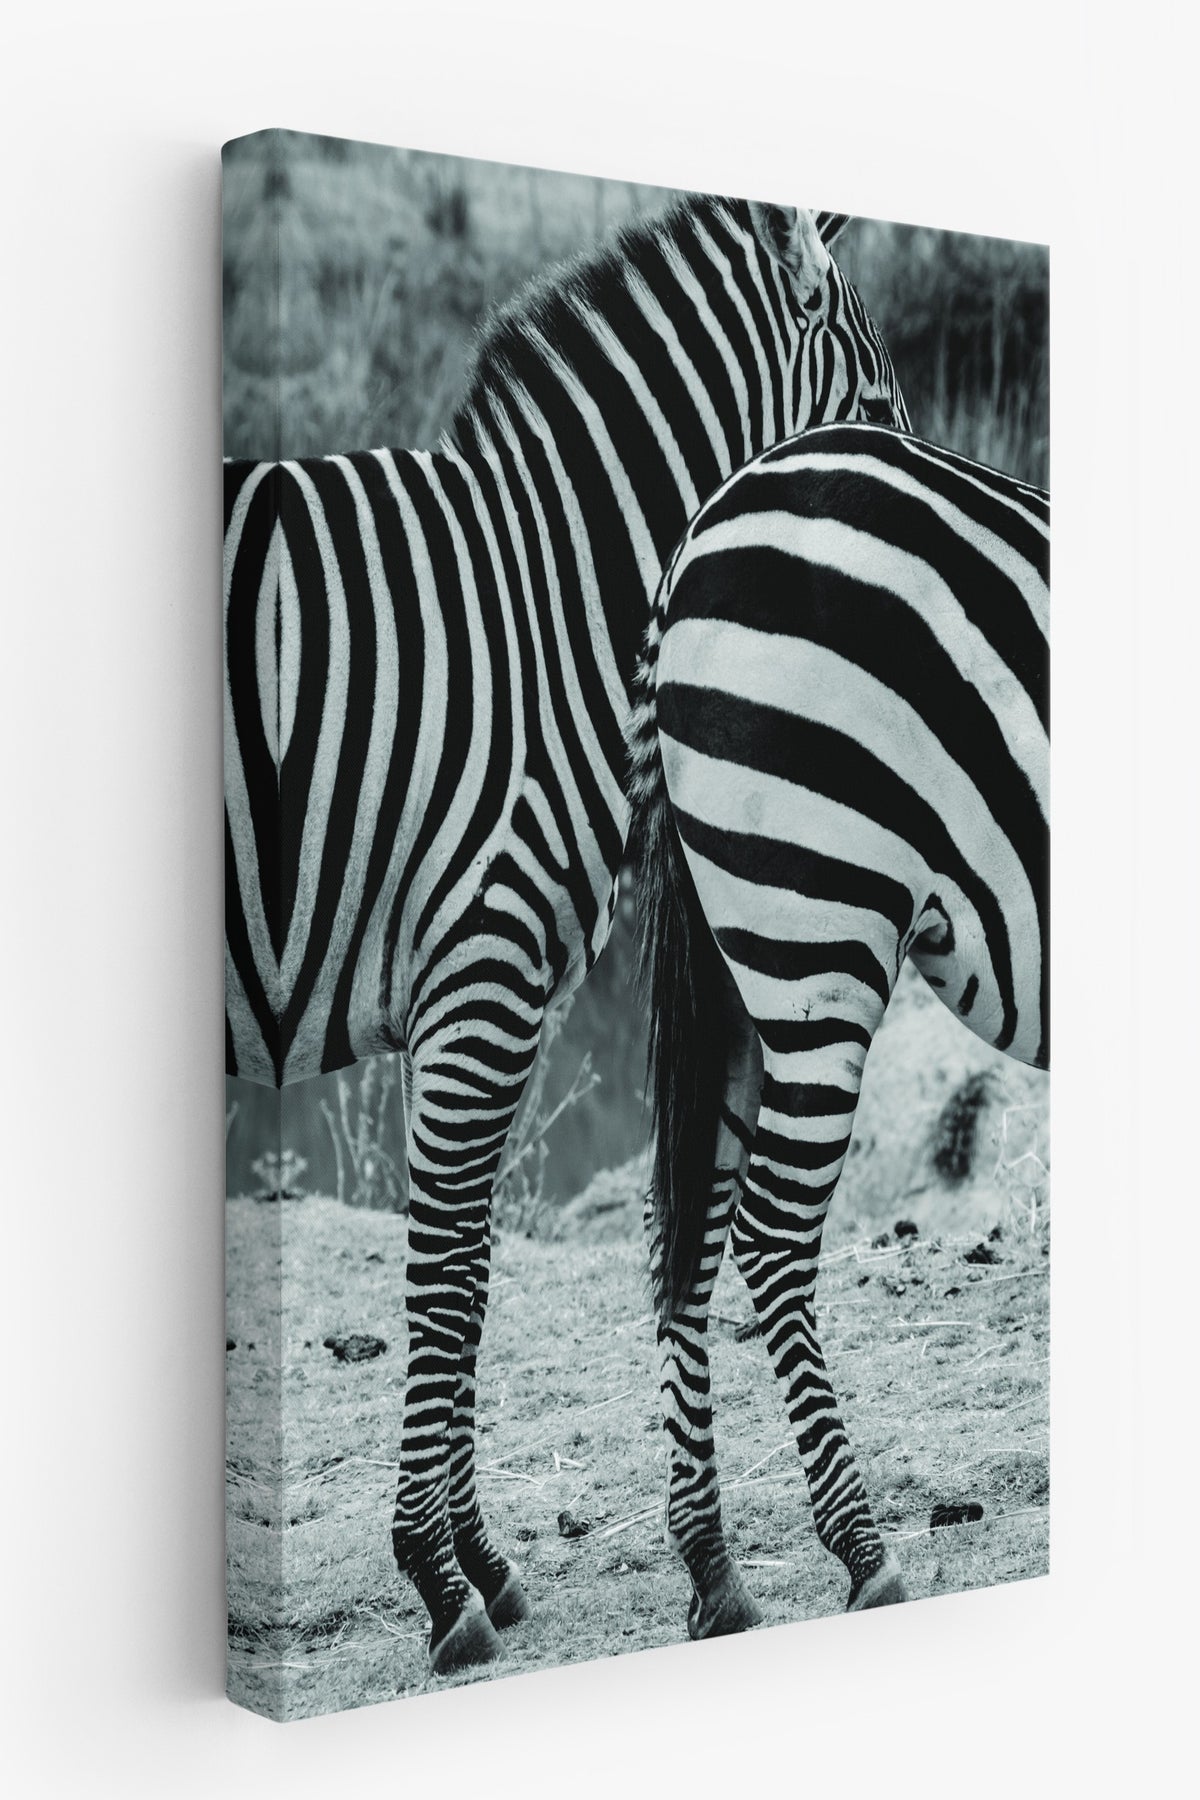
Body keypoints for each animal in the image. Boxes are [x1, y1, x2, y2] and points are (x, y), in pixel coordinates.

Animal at [224, 198, 910, 1674]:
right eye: (879, 413)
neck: (546, 607)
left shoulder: (503, 995)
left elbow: (476, 1273)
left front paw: (480, 1557)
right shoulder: (478, 971)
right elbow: (440, 1277)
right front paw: (438, 1585)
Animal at [628, 421, 1047, 1629]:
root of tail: (695, 534)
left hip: (739, 965)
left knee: (687, 1227)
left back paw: (714, 1570)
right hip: (818, 921)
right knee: (769, 1235)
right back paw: (865, 1551)